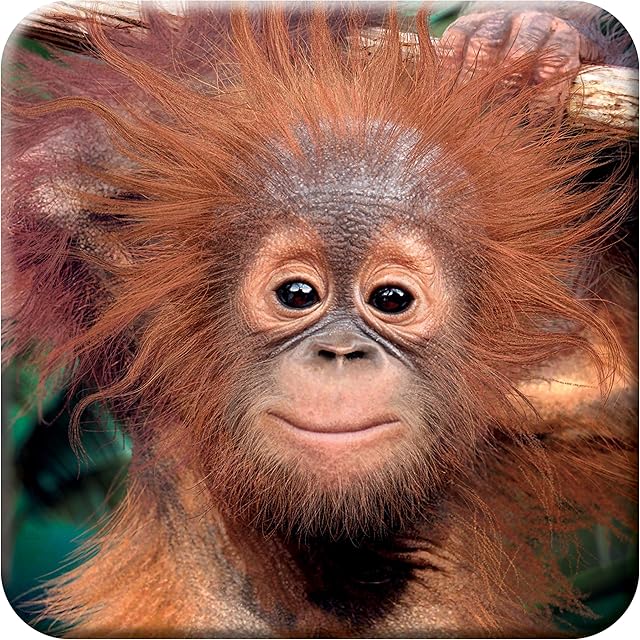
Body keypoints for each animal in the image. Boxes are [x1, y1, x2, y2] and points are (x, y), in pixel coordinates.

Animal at [2, 2, 637, 637]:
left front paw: (531, 39)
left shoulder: (536, 402)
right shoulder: (143, 340)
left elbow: (619, 389)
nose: (340, 351)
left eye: (391, 300)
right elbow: (54, 185)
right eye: (297, 293)